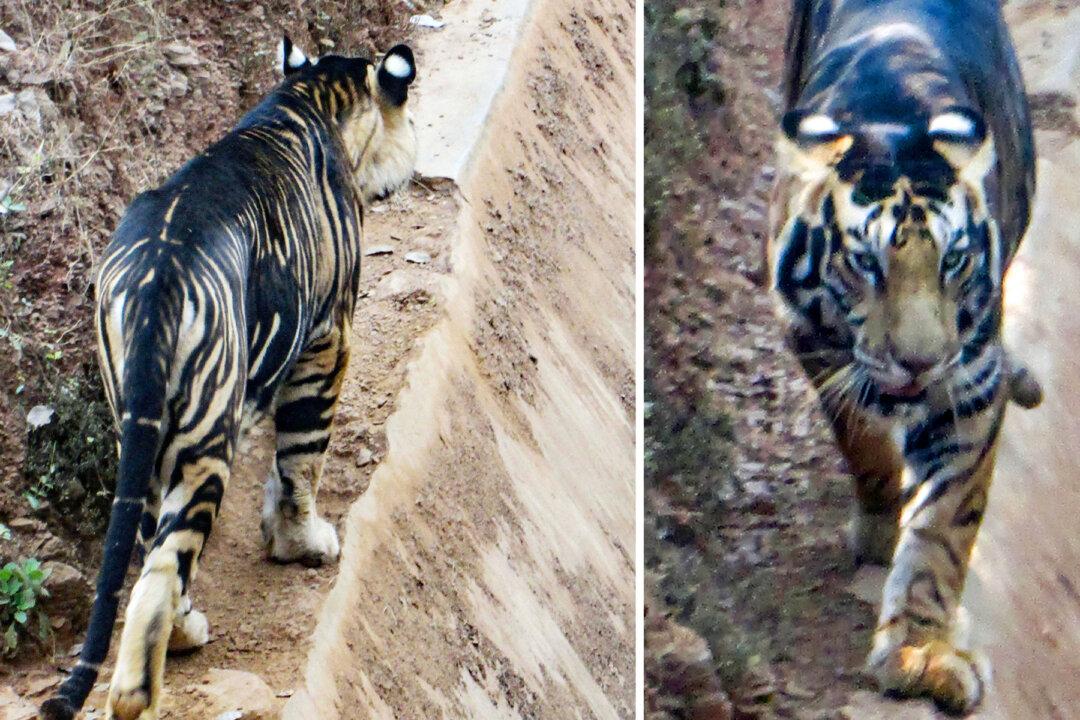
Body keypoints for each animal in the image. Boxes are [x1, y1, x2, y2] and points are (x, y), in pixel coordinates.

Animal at [41, 36, 417, 720]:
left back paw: (184, 632)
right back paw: (145, 685)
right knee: (162, 571)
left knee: (152, 546)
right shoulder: (328, 338)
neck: (311, 94)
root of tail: (157, 276)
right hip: (204, 439)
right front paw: (302, 542)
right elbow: (303, 457)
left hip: (143, 433)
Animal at [767, 0, 1040, 713]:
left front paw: (921, 653)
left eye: (954, 260)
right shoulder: (811, 340)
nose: (920, 362)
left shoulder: (968, 384)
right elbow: (860, 438)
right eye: (867, 263)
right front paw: (879, 524)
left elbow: (943, 527)